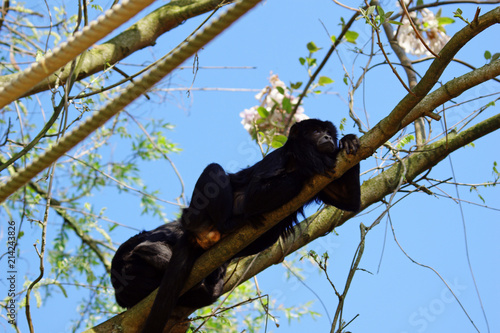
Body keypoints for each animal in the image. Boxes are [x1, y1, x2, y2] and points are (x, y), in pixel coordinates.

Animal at [110, 118, 360, 330]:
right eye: (316, 131)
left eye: (328, 132)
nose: (327, 138)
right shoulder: (278, 157)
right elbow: (254, 195)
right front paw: (311, 163)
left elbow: (349, 201)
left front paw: (348, 141)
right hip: (195, 216)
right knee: (215, 169)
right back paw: (227, 224)